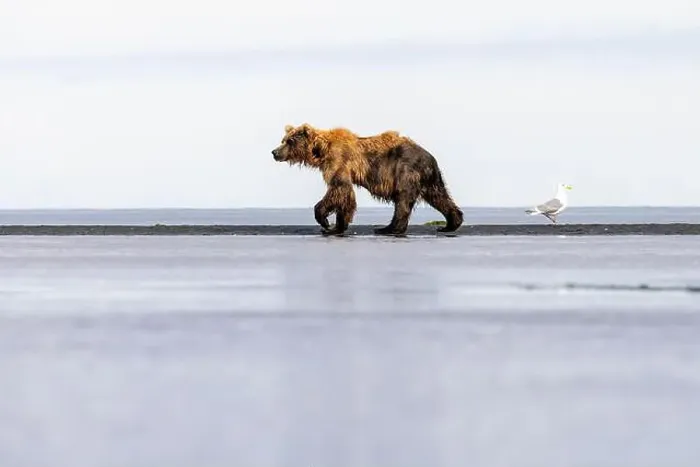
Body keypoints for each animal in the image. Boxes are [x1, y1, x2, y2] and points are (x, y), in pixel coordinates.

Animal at [271, 123, 464, 236]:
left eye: (289, 141)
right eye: (283, 140)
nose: (274, 152)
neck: (320, 151)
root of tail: (430, 156)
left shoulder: (339, 161)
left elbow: (338, 189)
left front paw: (325, 222)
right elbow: (344, 196)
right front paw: (337, 226)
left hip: (405, 171)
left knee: (403, 200)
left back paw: (389, 228)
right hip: (429, 178)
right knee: (439, 197)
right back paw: (450, 224)